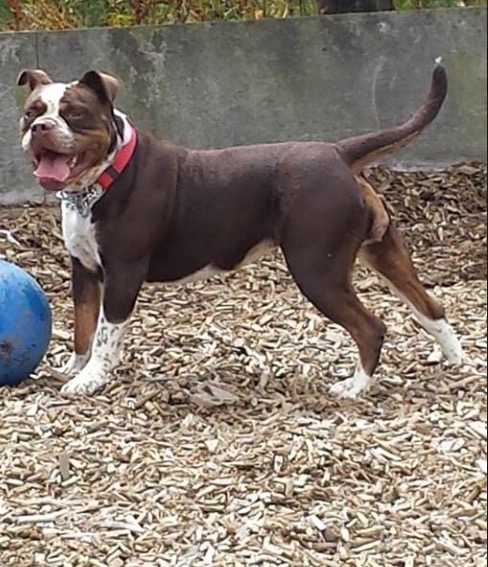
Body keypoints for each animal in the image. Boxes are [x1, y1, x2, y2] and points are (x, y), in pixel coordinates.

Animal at [17, 63, 464, 400]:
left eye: (74, 113)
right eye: (32, 111)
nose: (40, 127)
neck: (105, 177)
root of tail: (338, 153)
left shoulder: (122, 274)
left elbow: (106, 333)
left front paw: (91, 379)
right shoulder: (84, 270)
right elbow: (83, 327)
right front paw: (74, 368)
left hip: (317, 271)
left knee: (372, 328)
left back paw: (355, 388)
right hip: (383, 252)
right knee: (429, 306)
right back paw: (455, 359)